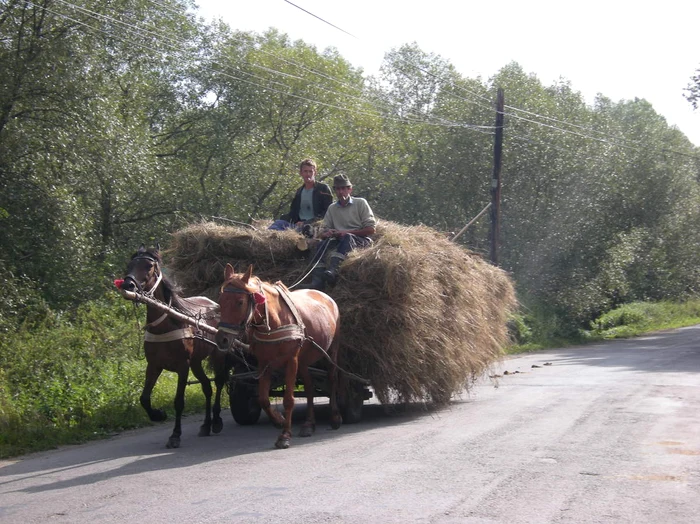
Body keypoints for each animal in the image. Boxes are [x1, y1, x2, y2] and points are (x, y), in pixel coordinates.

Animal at [119, 245, 230, 446]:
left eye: (148, 266)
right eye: (130, 264)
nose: (128, 285)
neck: (167, 323)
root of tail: (215, 304)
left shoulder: (182, 366)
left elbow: (179, 401)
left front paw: (175, 435)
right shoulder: (154, 365)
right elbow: (144, 398)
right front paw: (158, 414)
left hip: (218, 354)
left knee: (218, 382)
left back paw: (216, 420)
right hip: (196, 362)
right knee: (207, 387)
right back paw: (206, 425)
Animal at [216, 264, 342, 448]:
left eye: (240, 302)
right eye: (220, 302)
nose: (222, 339)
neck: (274, 323)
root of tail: (326, 296)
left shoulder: (291, 361)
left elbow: (288, 399)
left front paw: (285, 435)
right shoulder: (264, 364)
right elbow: (263, 399)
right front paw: (278, 420)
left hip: (332, 351)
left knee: (332, 379)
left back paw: (334, 416)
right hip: (303, 360)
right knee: (310, 386)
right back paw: (308, 424)